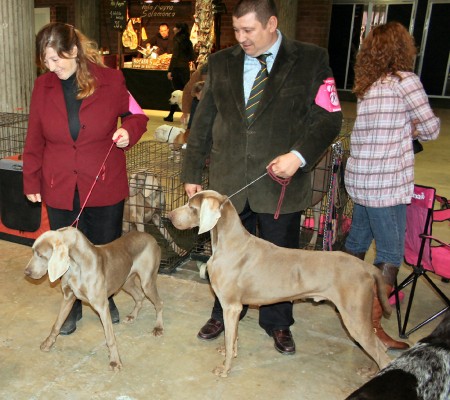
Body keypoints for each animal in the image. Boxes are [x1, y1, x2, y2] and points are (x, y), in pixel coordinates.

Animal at [23, 227, 164, 370]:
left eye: (41, 255)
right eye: (33, 251)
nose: (26, 272)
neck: (76, 266)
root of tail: (150, 236)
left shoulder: (102, 306)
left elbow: (110, 338)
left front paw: (115, 361)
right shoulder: (68, 297)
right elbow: (56, 324)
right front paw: (48, 343)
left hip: (147, 282)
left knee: (159, 302)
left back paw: (158, 327)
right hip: (125, 281)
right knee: (139, 296)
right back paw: (132, 316)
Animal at [167, 191, 392, 378]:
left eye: (192, 207)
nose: (168, 216)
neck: (229, 243)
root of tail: (366, 267)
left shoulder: (230, 306)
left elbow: (230, 339)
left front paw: (225, 368)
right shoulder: (235, 308)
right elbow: (233, 337)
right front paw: (229, 351)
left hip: (354, 316)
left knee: (381, 352)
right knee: (381, 347)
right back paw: (370, 371)